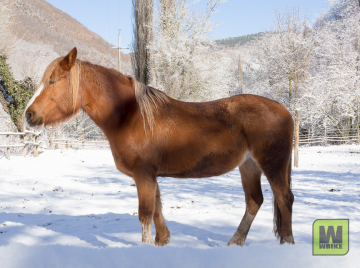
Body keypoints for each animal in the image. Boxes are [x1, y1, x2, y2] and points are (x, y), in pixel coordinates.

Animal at [23, 48, 296, 247]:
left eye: (52, 81)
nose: (28, 114)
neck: (130, 115)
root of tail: (285, 110)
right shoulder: (149, 175)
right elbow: (156, 210)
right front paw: (162, 241)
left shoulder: (143, 174)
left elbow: (145, 213)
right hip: (249, 166)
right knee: (254, 201)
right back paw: (235, 242)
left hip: (272, 165)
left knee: (284, 198)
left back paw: (287, 244)